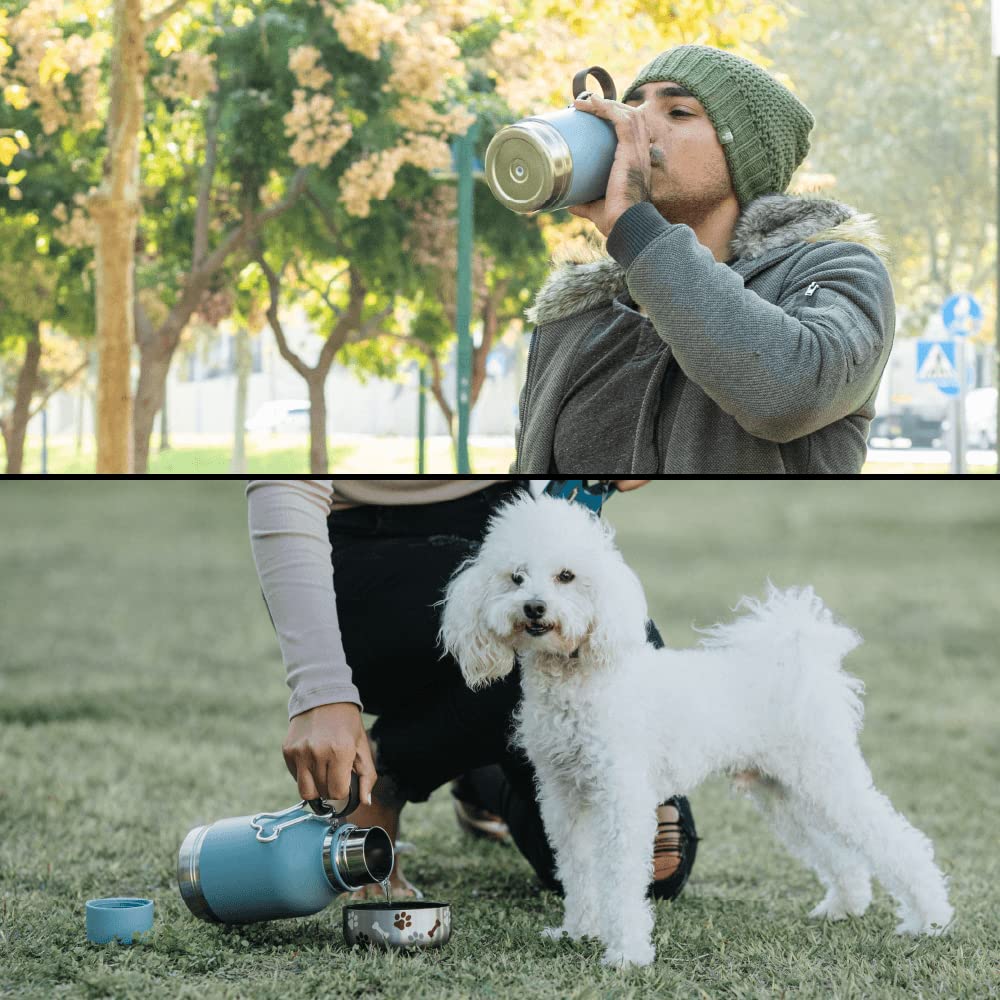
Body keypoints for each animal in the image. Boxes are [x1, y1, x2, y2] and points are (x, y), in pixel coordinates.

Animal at [440, 496, 952, 964]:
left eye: (566, 576)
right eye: (516, 576)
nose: (533, 607)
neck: (580, 678)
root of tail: (795, 661)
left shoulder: (620, 796)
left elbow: (621, 877)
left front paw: (626, 953)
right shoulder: (565, 796)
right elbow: (577, 867)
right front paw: (578, 930)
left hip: (825, 776)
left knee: (900, 842)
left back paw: (931, 919)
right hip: (785, 791)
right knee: (839, 853)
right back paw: (844, 905)